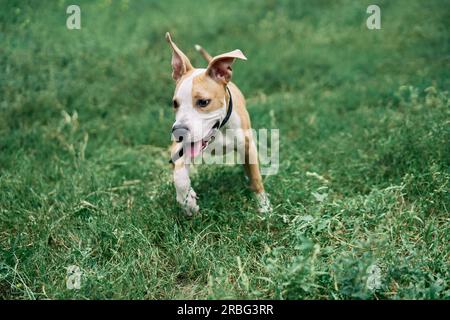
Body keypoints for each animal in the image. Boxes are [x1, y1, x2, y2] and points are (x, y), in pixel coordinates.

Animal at [166, 32, 268, 216]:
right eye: (175, 103)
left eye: (203, 102)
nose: (178, 132)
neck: (219, 130)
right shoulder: (179, 149)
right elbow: (179, 175)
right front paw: (188, 202)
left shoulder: (248, 145)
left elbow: (256, 176)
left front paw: (264, 207)